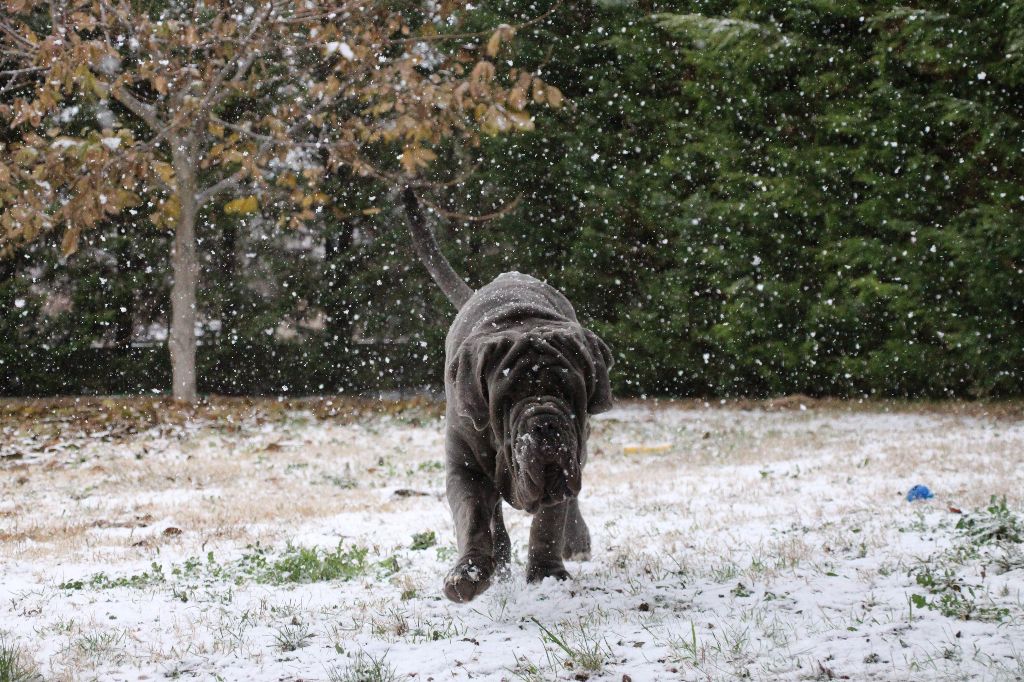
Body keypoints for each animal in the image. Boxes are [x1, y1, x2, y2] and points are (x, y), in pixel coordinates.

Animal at [397, 187, 606, 602]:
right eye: (506, 399)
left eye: (570, 392)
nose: (545, 422)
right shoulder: (463, 467)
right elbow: (475, 520)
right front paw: (469, 573)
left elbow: (549, 520)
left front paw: (547, 574)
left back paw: (574, 542)